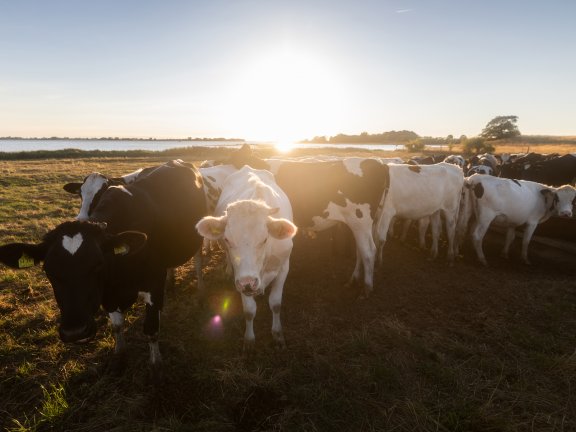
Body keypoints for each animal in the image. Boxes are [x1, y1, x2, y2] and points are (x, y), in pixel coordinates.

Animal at [0, 160, 207, 372]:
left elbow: (151, 329)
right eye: (48, 271)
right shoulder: (108, 295)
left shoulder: (153, 281)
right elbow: (116, 326)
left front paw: (156, 363)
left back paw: (200, 289)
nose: (75, 331)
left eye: (98, 265)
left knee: (198, 261)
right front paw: (119, 354)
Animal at [197, 165, 296, 352]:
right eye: (227, 239)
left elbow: (276, 304)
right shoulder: (240, 277)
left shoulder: (284, 267)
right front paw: (249, 340)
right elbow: (249, 310)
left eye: (264, 239)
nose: (248, 283)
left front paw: (278, 335)